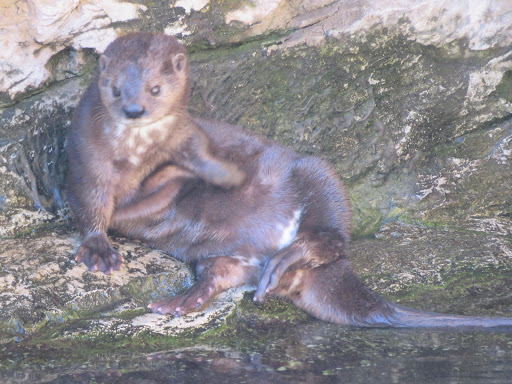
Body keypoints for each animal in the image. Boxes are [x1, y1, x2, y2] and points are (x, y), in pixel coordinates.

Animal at [68, 33, 512, 328]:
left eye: (156, 88)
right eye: (115, 89)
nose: (134, 109)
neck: (134, 159)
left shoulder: (188, 140)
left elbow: (186, 166)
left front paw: (213, 170)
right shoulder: (87, 164)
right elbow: (93, 206)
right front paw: (99, 248)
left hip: (318, 175)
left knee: (332, 238)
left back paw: (291, 254)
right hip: (227, 258)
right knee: (219, 273)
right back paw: (182, 300)